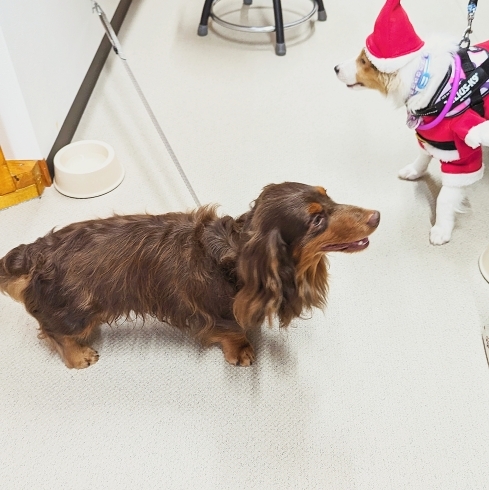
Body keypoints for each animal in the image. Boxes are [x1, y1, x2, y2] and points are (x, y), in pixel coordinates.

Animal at [336, 0, 488, 245]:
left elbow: (445, 197)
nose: (336, 68)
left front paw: (441, 229)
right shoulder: (430, 136)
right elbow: (423, 155)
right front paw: (414, 171)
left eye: (364, 61)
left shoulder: (460, 152)